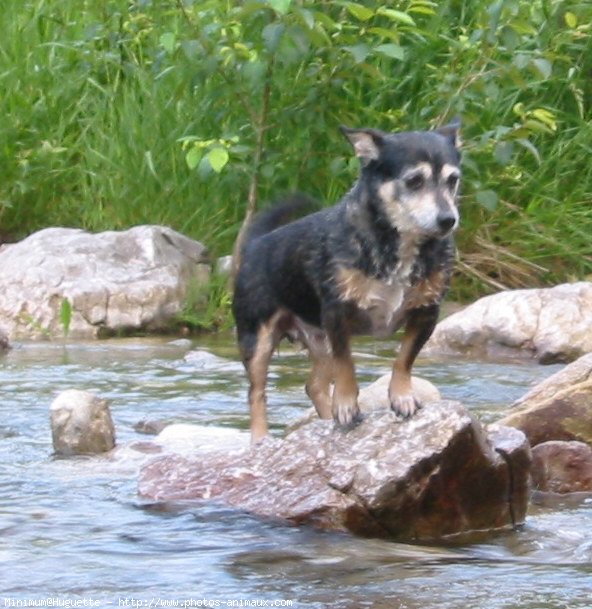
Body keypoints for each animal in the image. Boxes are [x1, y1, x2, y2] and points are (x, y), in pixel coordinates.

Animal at [234, 120, 460, 442]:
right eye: (414, 180)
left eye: (453, 180)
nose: (448, 219)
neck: (397, 244)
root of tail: (256, 243)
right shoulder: (337, 314)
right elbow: (346, 365)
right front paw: (345, 405)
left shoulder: (427, 312)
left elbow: (404, 358)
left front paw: (401, 396)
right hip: (257, 339)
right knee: (256, 393)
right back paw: (260, 439)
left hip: (317, 339)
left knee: (314, 385)